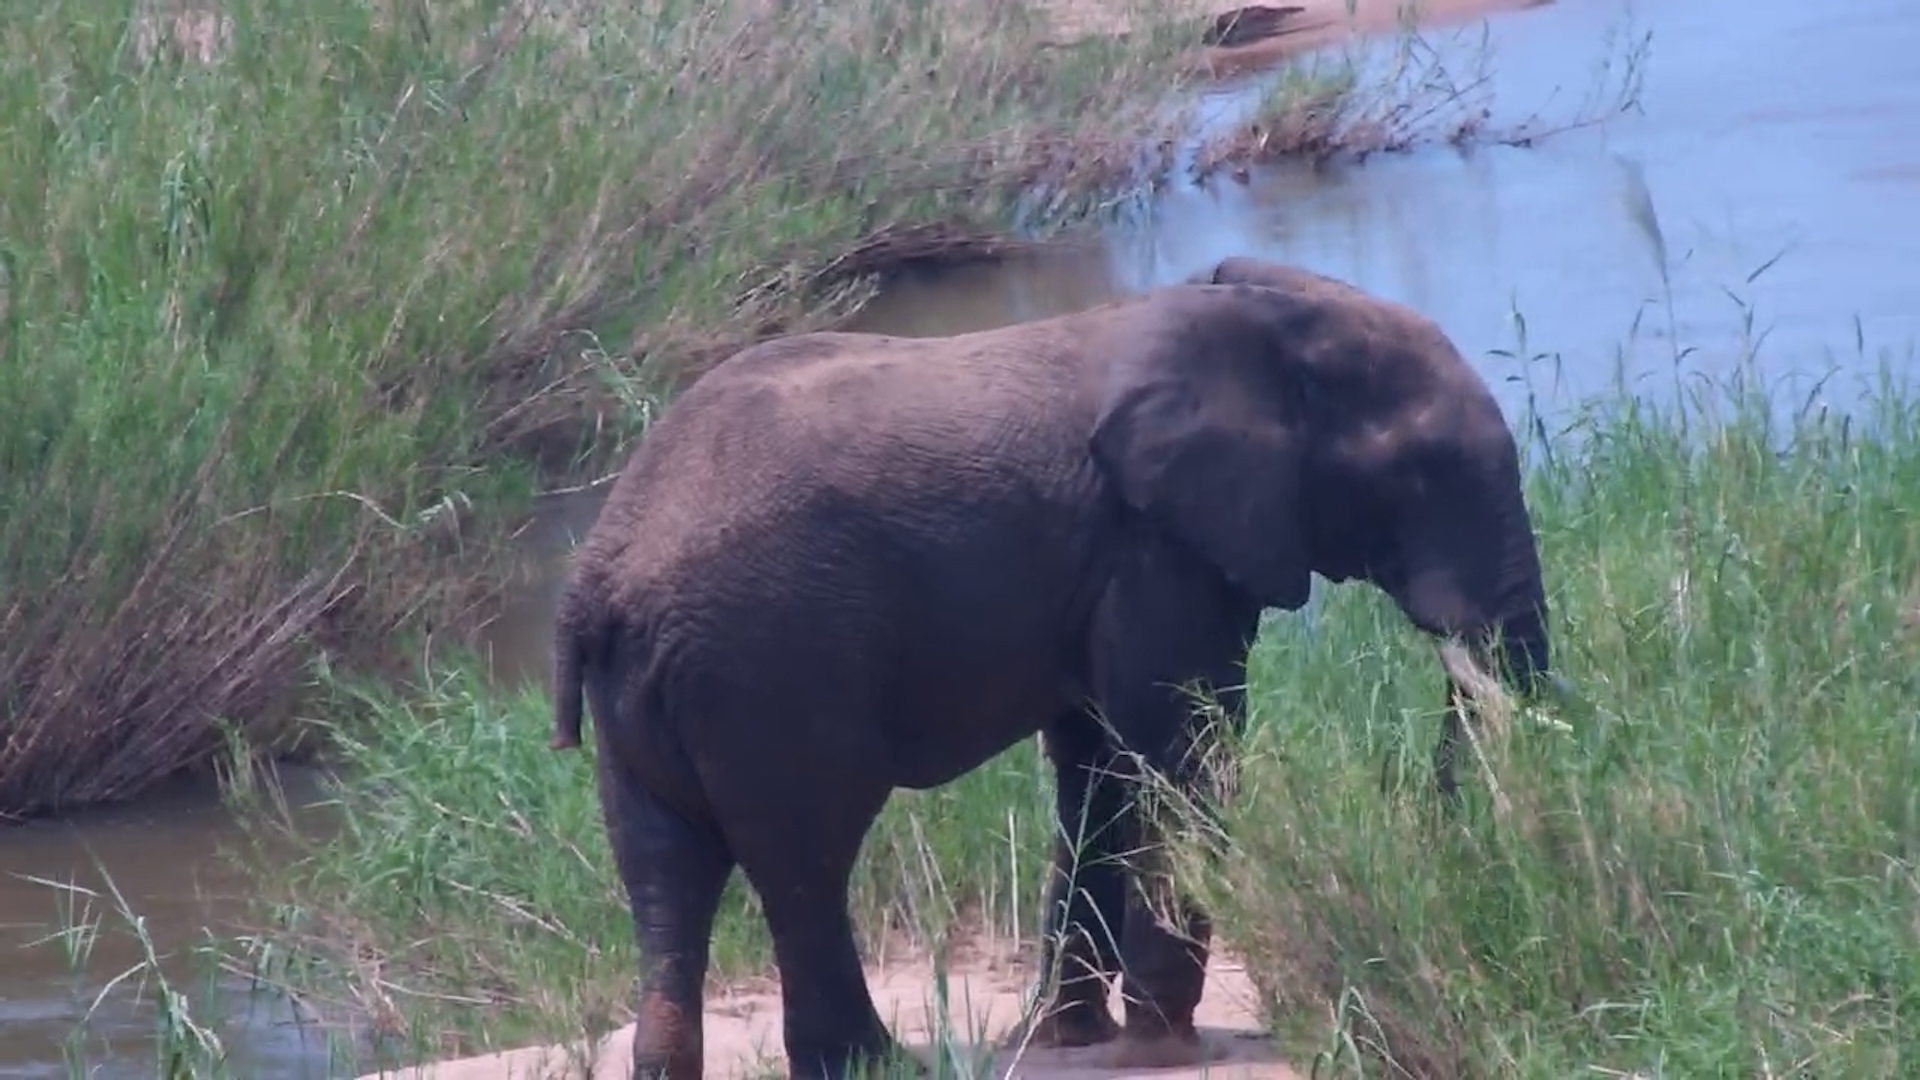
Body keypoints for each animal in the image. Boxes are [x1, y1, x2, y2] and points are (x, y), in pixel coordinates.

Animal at [547, 255, 1556, 1080]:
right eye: (1422, 473)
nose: (1453, 844)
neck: (1261, 318)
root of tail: (594, 583)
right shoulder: (1157, 548)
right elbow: (1180, 752)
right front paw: (1162, 1046)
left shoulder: (1109, 564)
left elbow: (1096, 769)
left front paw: (1073, 1039)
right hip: (767, 667)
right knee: (804, 863)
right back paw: (877, 1067)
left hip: (655, 692)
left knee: (665, 873)